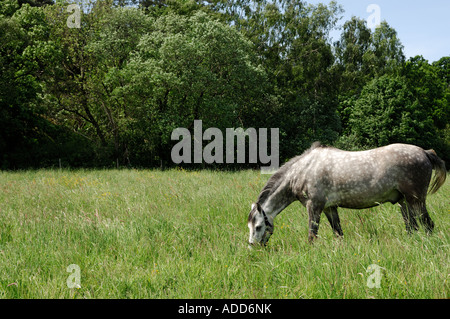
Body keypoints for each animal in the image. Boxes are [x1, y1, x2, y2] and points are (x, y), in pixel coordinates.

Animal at [248, 143, 444, 248]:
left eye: (258, 226)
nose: (253, 247)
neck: (303, 170)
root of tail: (425, 152)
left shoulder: (314, 207)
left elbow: (312, 236)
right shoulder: (329, 208)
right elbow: (338, 234)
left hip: (416, 200)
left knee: (428, 225)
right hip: (404, 202)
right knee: (412, 228)